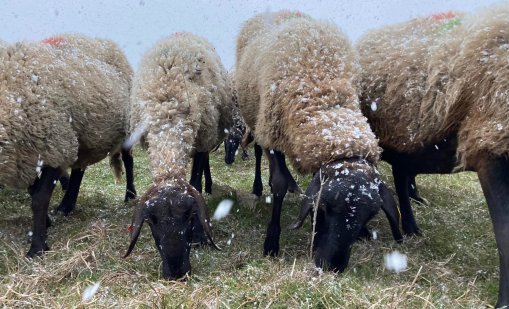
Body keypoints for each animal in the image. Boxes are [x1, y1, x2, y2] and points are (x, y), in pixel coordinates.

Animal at [0, 33, 133, 256]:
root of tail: (103, 41)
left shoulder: (55, 149)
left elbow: (39, 199)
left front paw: (37, 247)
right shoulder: (27, 157)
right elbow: (34, 194)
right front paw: (47, 224)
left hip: (127, 127)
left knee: (129, 160)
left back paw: (130, 196)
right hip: (83, 137)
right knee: (79, 169)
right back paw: (67, 205)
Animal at [123, 31, 234, 280]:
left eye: (190, 217)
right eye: (152, 222)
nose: (176, 273)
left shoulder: (202, 139)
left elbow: (196, 180)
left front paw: (200, 237)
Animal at [234, 13, 400, 270]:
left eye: (369, 215)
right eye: (325, 207)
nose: (332, 266)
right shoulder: (273, 132)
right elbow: (278, 184)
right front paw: (271, 243)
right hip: (256, 119)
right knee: (260, 152)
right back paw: (259, 187)